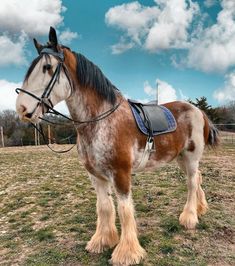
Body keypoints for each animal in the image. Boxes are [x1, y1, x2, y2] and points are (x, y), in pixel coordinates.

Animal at [16, 27, 218, 266]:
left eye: (47, 68)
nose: (21, 108)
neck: (100, 120)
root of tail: (199, 111)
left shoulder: (121, 174)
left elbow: (124, 209)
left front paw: (127, 252)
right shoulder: (96, 176)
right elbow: (104, 207)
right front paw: (102, 241)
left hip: (191, 157)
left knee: (191, 183)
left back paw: (189, 217)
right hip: (180, 158)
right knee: (198, 179)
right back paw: (200, 208)